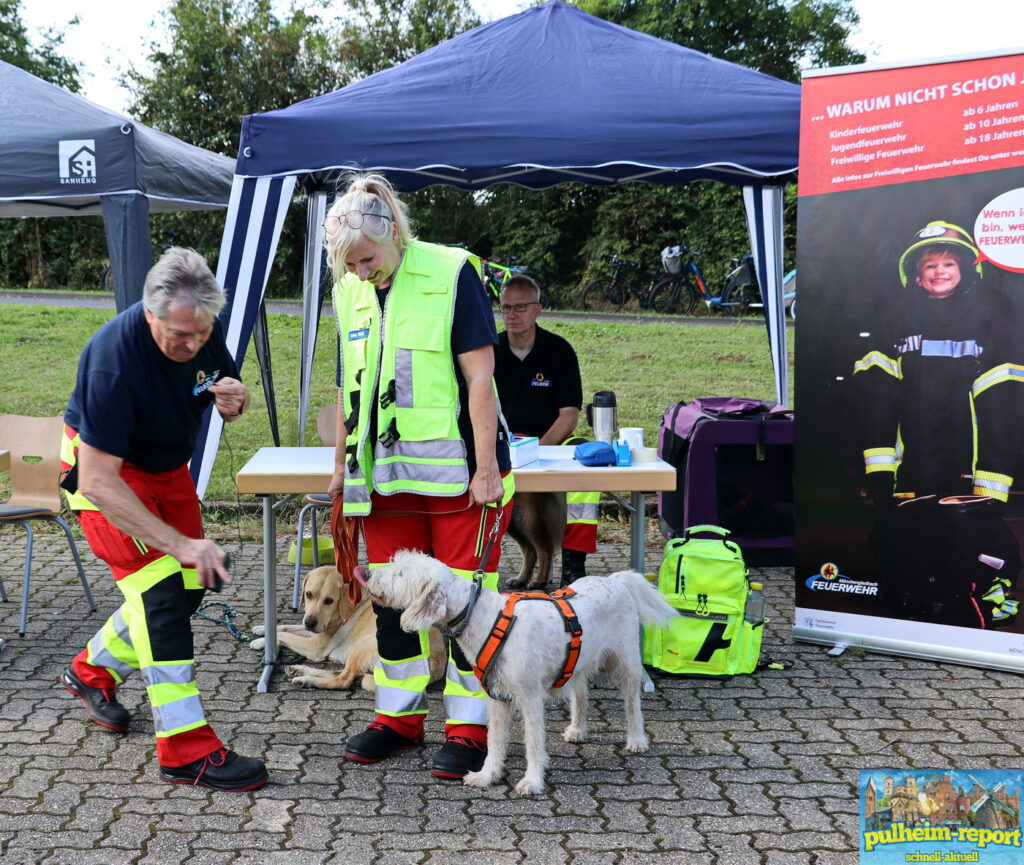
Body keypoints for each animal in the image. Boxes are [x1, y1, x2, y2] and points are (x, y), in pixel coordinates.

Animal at [249, 565, 446, 692]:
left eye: (329, 601)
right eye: (309, 594)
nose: (310, 622)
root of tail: (438, 661)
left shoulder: (315, 646)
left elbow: (286, 635)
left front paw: (260, 641)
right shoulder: (314, 632)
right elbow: (287, 627)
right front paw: (261, 629)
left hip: (362, 648)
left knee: (344, 680)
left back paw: (305, 680)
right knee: (341, 673)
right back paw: (300, 670)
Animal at [364, 548, 675, 794]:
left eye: (401, 573)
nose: (366, 575)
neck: (486, 619)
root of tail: (614, 580)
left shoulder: (530, 699)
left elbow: (533, 743)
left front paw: (532, 781)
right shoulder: (496, 698)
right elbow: (495, 741)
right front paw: (487, 775)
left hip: (626, 661)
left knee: (632, 702)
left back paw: (636, 740)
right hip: (578, 661)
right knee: (581, 694)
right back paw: (577, 729)